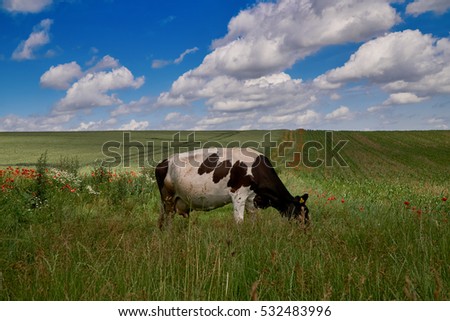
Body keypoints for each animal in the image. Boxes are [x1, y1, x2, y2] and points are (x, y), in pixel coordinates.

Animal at [156, 148, 310, 228]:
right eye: (302, 212)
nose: (307, 229)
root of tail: (164, 161)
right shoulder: (238, 195)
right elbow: (239, 221)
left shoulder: (251, 199)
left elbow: (253, 220)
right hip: (168, 197)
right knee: (168, 221)